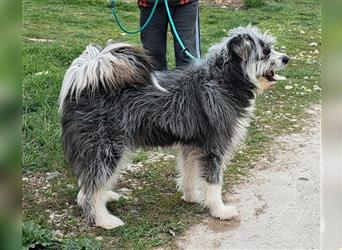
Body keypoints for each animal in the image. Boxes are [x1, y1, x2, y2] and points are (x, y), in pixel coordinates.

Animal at [58, 24, 288, 229]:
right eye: (266, 51)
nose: (286, 58)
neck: (224, 80)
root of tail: (83, 83)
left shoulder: (192, 146)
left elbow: (189, 174)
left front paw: (192, 197)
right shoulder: (214, 147)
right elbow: (214, 183)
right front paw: (219, 210)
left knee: (87, 184)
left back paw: (104, 198)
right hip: (107, 148)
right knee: (93, 187)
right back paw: (103, 220)